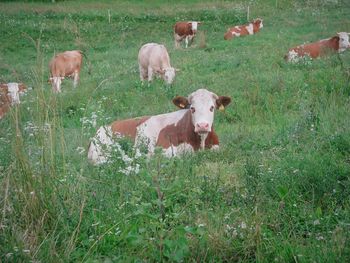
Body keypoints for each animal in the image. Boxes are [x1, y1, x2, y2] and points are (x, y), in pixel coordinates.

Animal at [87, 88, 231, 165]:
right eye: (192, 108)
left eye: (212, 108)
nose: (202, 125)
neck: (200, 143)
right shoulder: (164, 149)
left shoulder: (216, 147)